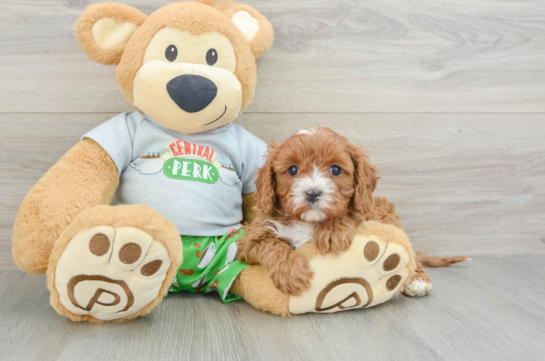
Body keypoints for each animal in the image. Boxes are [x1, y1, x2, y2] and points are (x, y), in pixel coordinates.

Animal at [238, 127, 408, 296]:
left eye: (335, 169)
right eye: (293, 169)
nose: (312, 193)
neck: (307, 221)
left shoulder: (364, 214)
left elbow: (348, 212)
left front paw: (332, 230)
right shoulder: (251, 238)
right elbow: (272, 245)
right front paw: (292, 274)